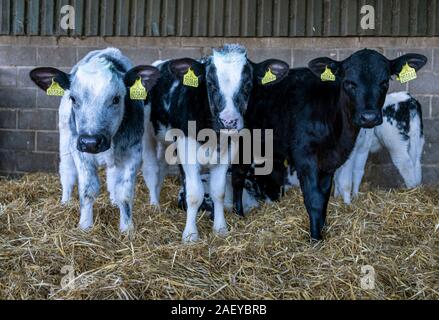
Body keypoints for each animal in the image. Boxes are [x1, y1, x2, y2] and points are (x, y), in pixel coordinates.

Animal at [29, 47, 160, 231]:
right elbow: (87, 190)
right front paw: (85, 226)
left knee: (113, 178)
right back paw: (65, 203)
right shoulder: (80, 151)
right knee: (67, 173)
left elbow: (125, 192)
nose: (90, 142)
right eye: (73, 98)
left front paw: (127, 228)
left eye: (116, 99)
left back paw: (113, 202)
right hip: (66, 140)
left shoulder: (133, 153)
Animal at [144, 43, 288, 241]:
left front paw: (220, 228)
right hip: (149, 135)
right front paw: (190, 235)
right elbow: (194, 194)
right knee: (153, 169)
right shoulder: (187, 147)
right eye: (210, 84)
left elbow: (218, 192)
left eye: (248, 85)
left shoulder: (227, 151)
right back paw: (154, 204)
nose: (228, 121)